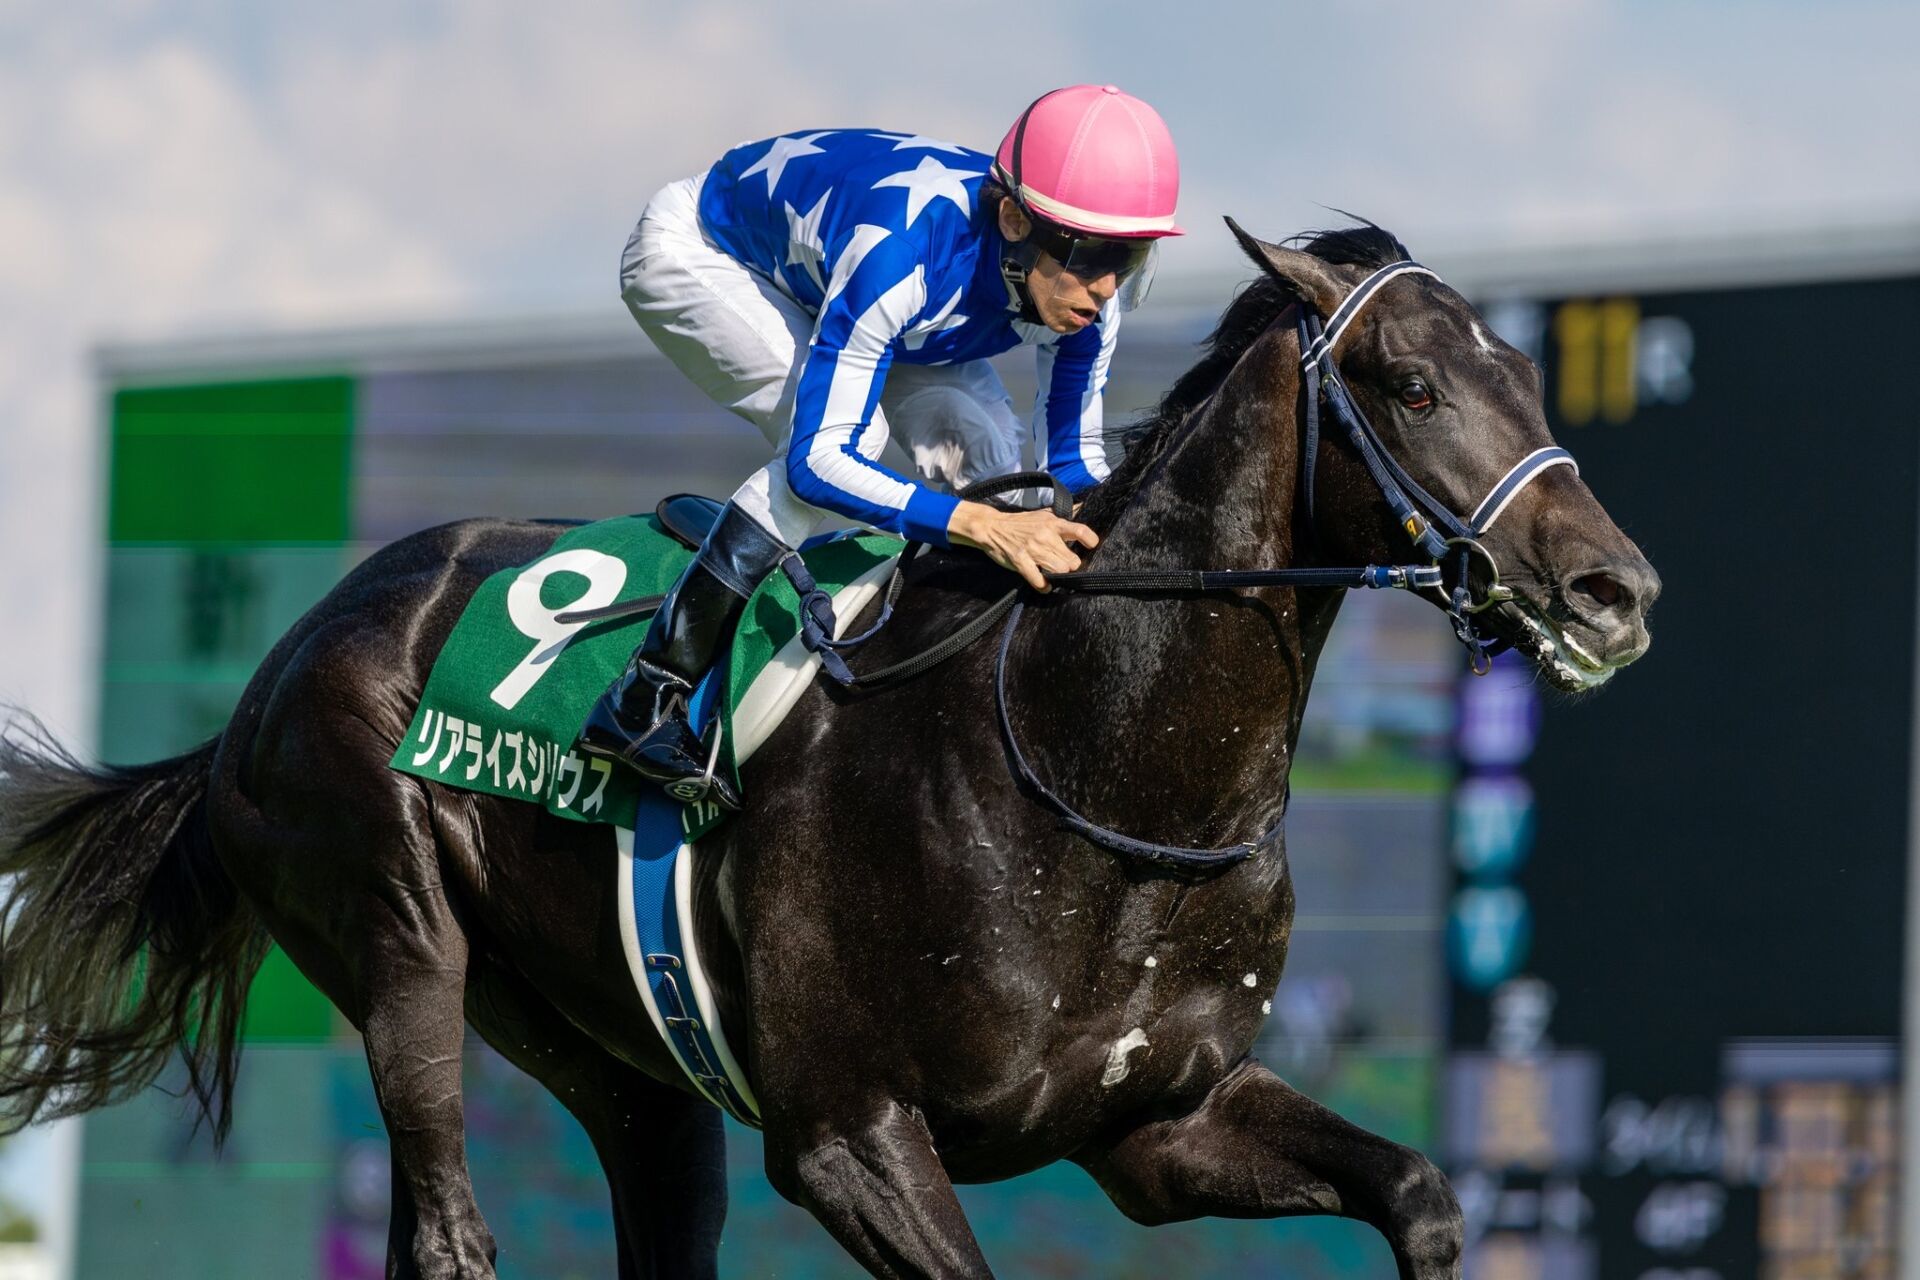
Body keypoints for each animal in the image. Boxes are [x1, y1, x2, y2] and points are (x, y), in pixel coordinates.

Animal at [0, 220, 1657, 1279]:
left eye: (1530, 377)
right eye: (1415, 386)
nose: (1613, 590)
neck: (1096, 769)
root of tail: (276, 670)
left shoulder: (1154, 1124)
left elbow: (1422, 1193)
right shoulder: (848, 1131)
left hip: (617, 1061)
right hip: (398, 932)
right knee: (447, 1226)